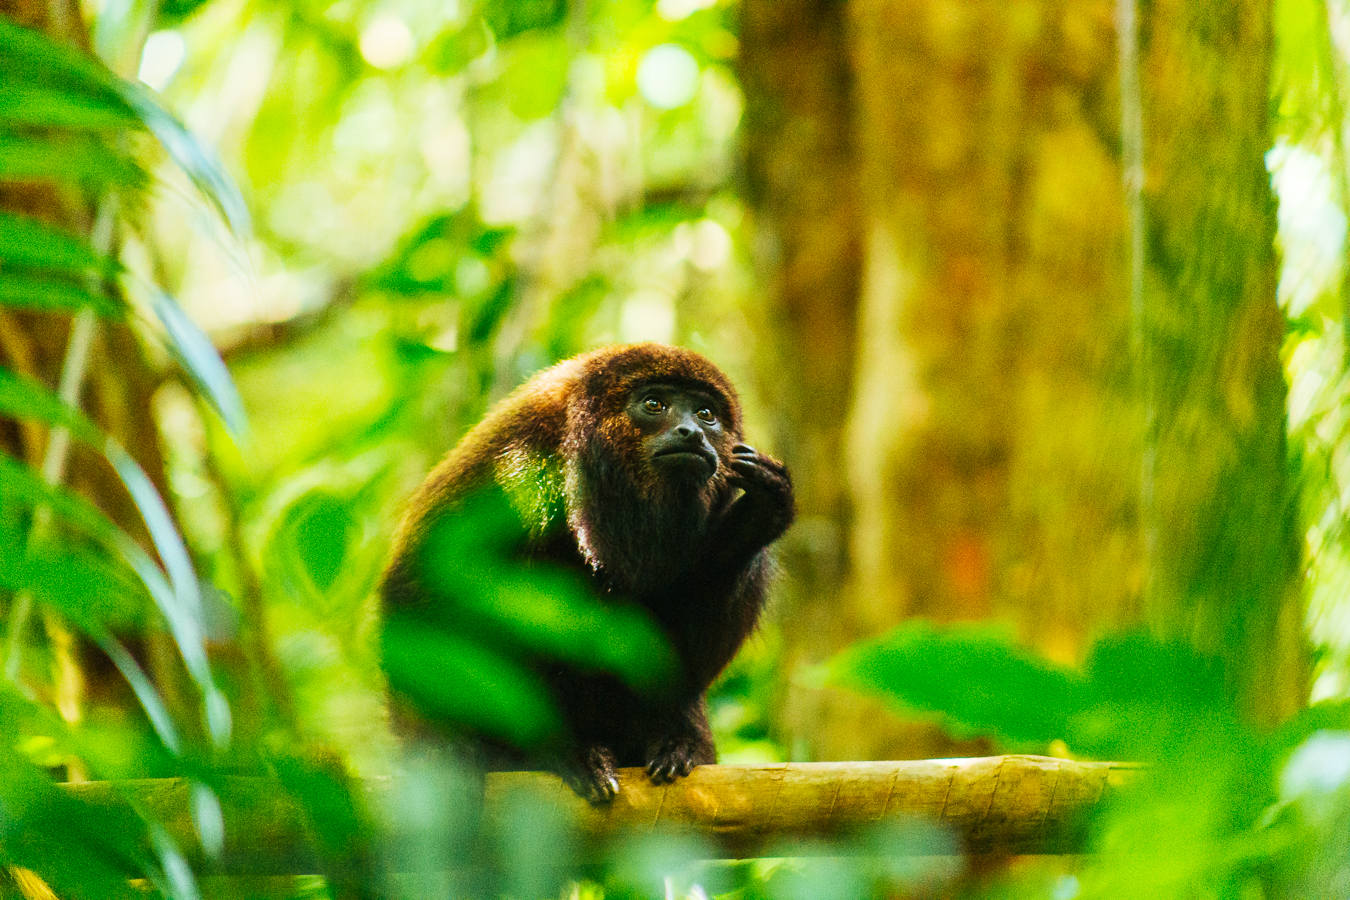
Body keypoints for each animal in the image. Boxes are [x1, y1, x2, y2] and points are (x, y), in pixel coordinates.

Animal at [380, 342, 793, 804]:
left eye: (707, 414)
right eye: (655, 404)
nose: (692, 432)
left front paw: (757, 515)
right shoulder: (511, 464)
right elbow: (420, 595)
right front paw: (451, 752)